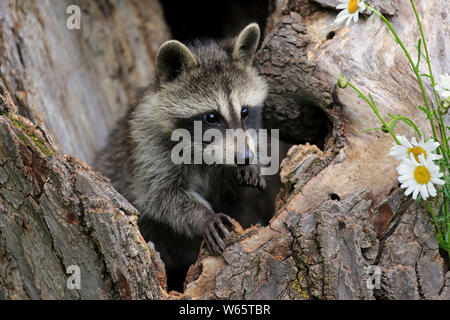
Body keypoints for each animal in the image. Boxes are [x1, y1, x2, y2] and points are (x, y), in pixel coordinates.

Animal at [94, 22, 270, 288]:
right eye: (211, 117)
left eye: (245, 112)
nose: (244, 157)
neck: (202, 151)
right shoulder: (149, 146)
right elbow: (161, 196)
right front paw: (203, 217)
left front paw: (250, 165)